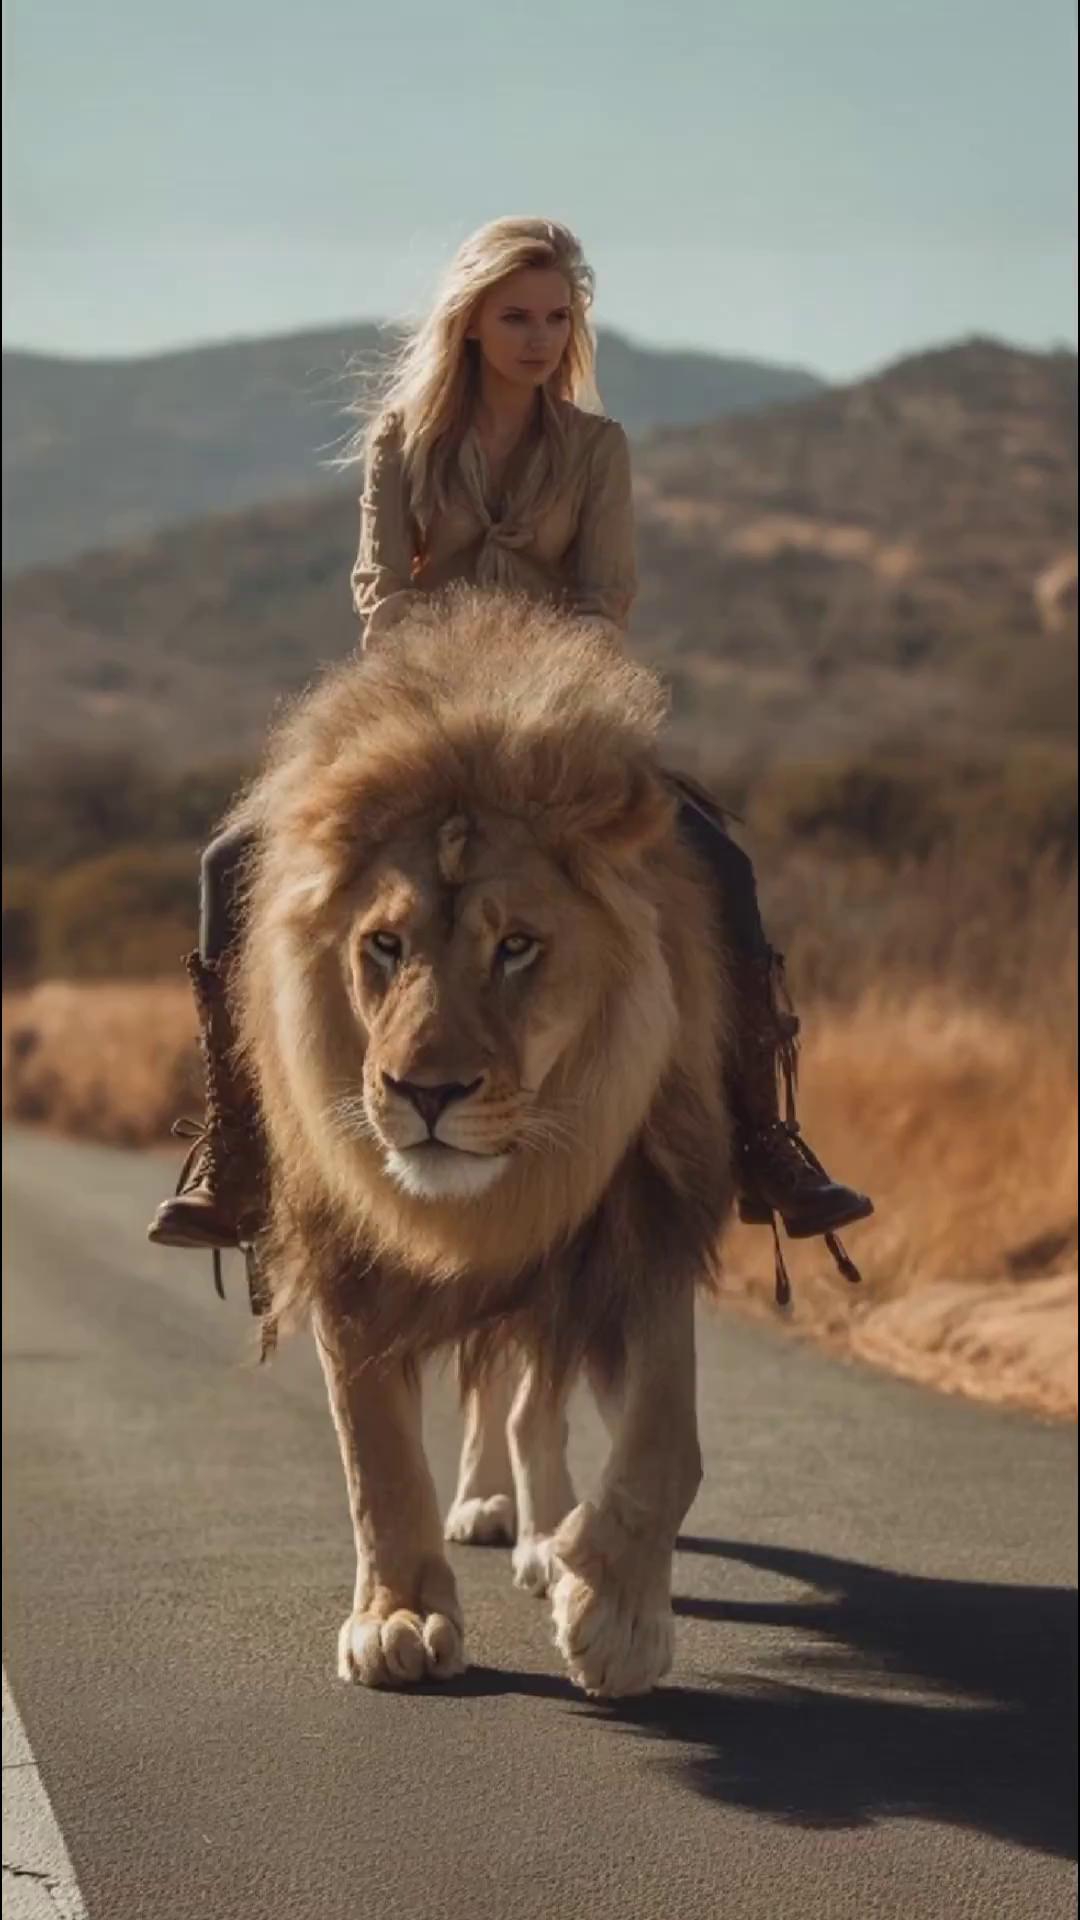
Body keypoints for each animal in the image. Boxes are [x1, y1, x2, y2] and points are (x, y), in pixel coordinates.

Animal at [234, 589, 734, 1698]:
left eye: (517, 947)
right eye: (384, 944)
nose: (425, 1092)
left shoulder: (639, 1223)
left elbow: (667, 1444)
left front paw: (616, 1615)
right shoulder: (348, 1249)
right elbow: (375, 1457)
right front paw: (400, 1616)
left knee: (529, 1399)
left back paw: (545, 1536)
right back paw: (489, 1508)